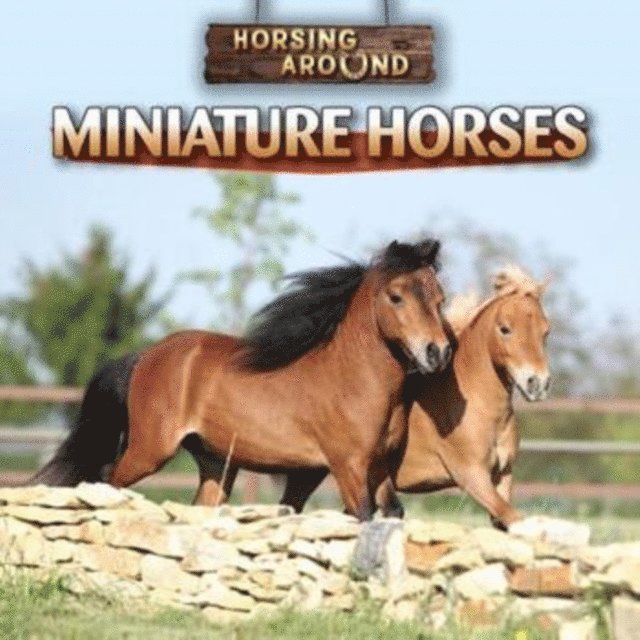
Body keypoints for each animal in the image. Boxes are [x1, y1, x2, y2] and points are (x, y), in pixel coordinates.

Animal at [30, 239, 452, 521]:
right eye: (396, 296)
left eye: (439, 297)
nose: (438, 352)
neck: (354, 380)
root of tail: (145, 356)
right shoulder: (347, 468)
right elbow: (363, 517)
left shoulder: (376, 469)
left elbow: (392, 513)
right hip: (150, 450)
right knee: (106, 478)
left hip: (216, 462)